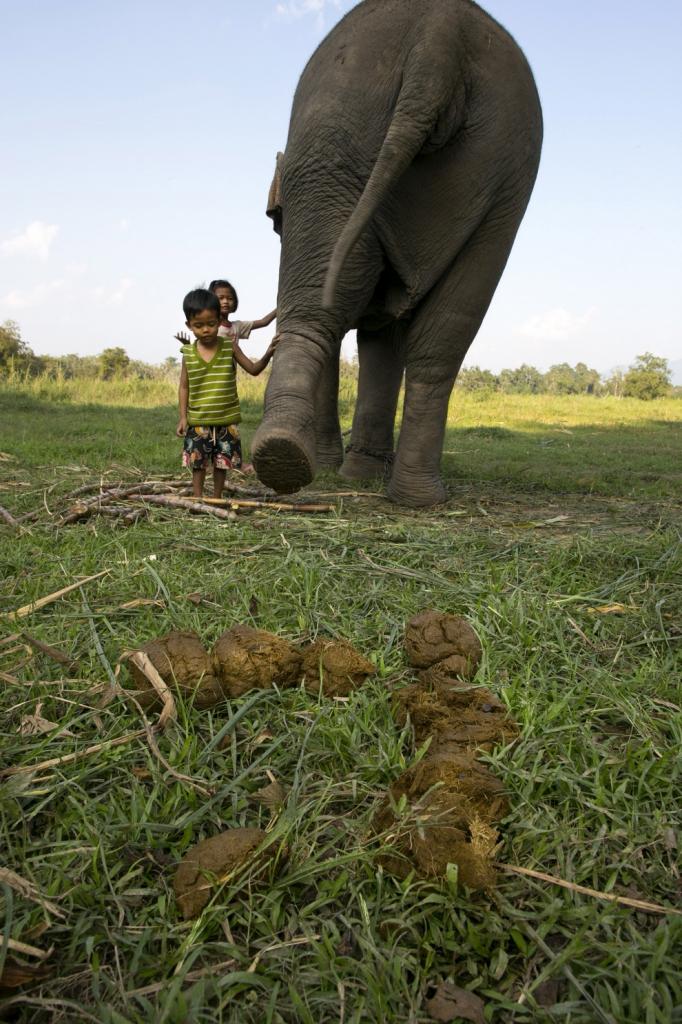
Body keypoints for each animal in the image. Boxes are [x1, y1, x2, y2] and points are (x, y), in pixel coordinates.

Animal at [250, 0, 540, 505]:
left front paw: (342, 470)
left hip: (331, 149)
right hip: (500, 173)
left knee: (320, 312)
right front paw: (358, 474)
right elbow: (382, 333)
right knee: (443, 338)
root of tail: (441, 38)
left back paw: (285, 457)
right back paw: (417, 497)